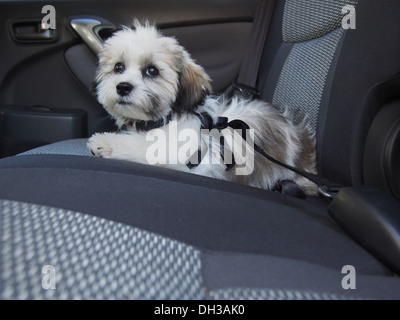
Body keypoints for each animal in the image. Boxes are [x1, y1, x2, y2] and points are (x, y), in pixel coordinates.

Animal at [88, 21, 318, 195]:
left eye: (151, 71)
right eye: (118, 67)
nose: (123, 86)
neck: (163, 120)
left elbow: (143, 148)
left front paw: (106, 143)